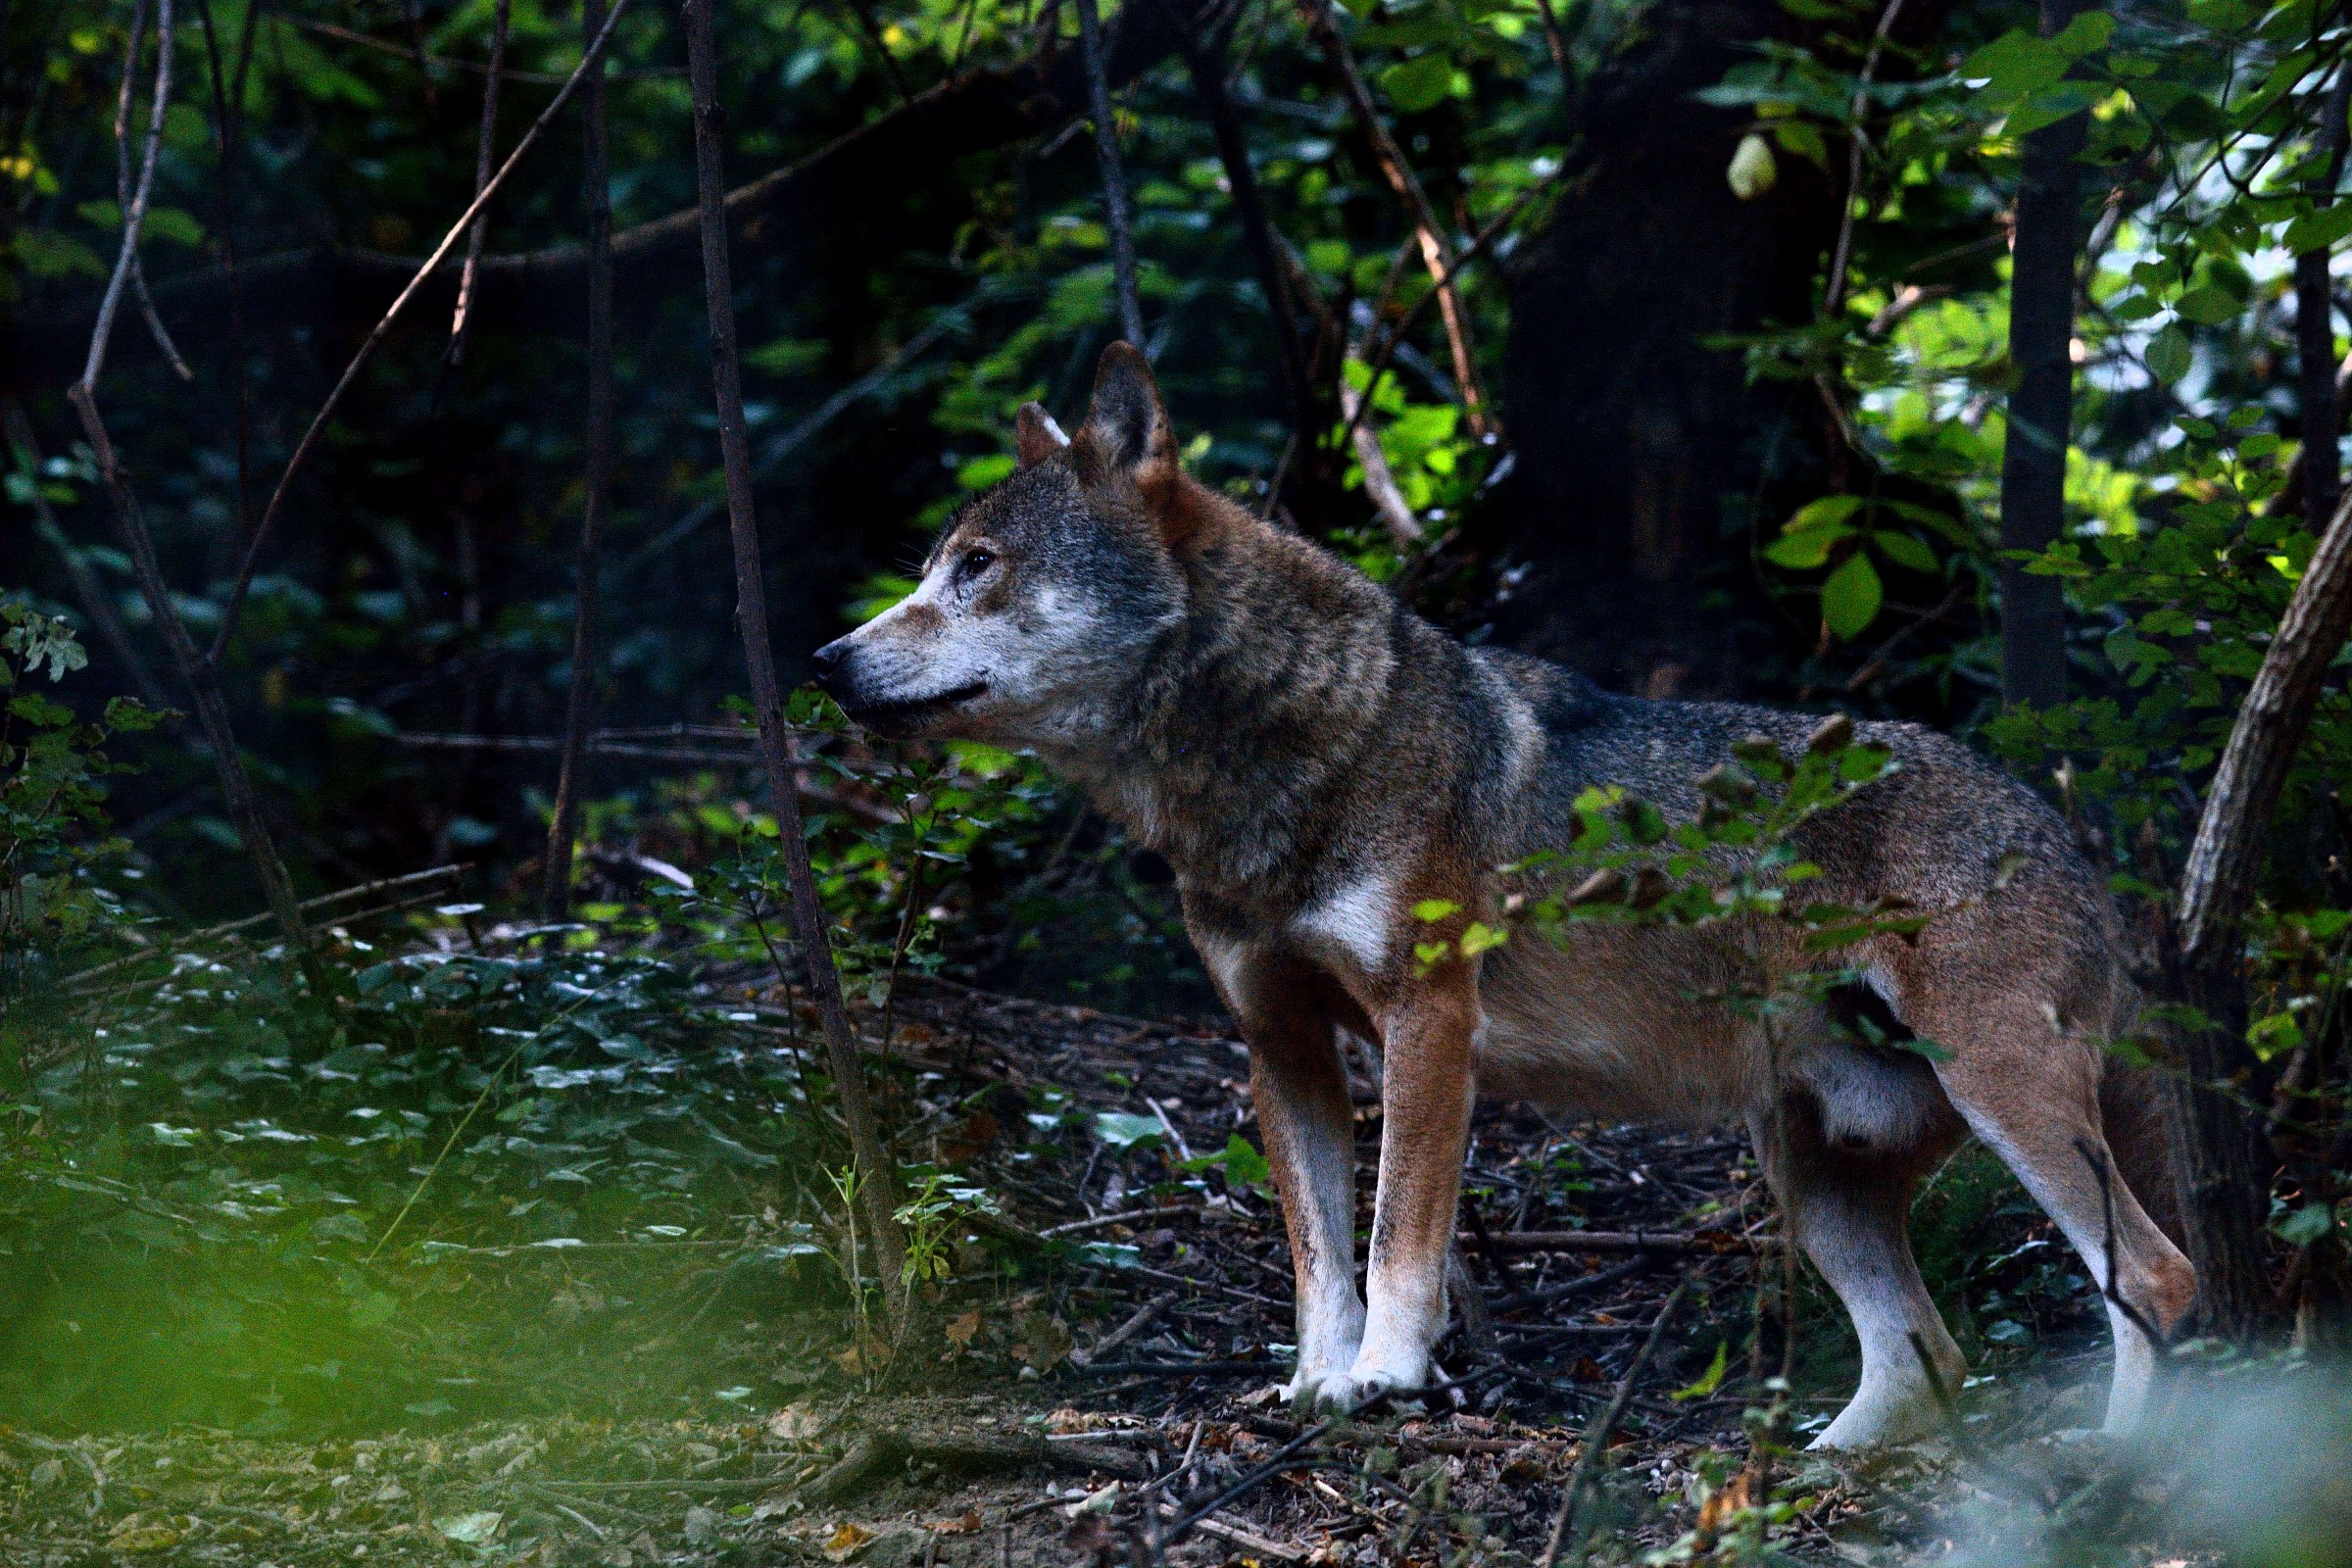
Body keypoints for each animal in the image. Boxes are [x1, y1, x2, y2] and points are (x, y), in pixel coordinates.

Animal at [812, 343, 2197, 1448]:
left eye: (976, 566)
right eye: (932, 566)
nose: (824, 659)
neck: (1280, 769)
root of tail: (2075, 845)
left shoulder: (1430, 1023)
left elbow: (1396, 1244)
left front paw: (1384, 1380)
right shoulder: (1277, 1040)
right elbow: (1316, 1256)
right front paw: (1316, 1388)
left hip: (1996, 1094)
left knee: (2158, 1280)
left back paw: (2113, 1470)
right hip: (1810, 1171)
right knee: (1929, 1357)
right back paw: (1810, 1471)